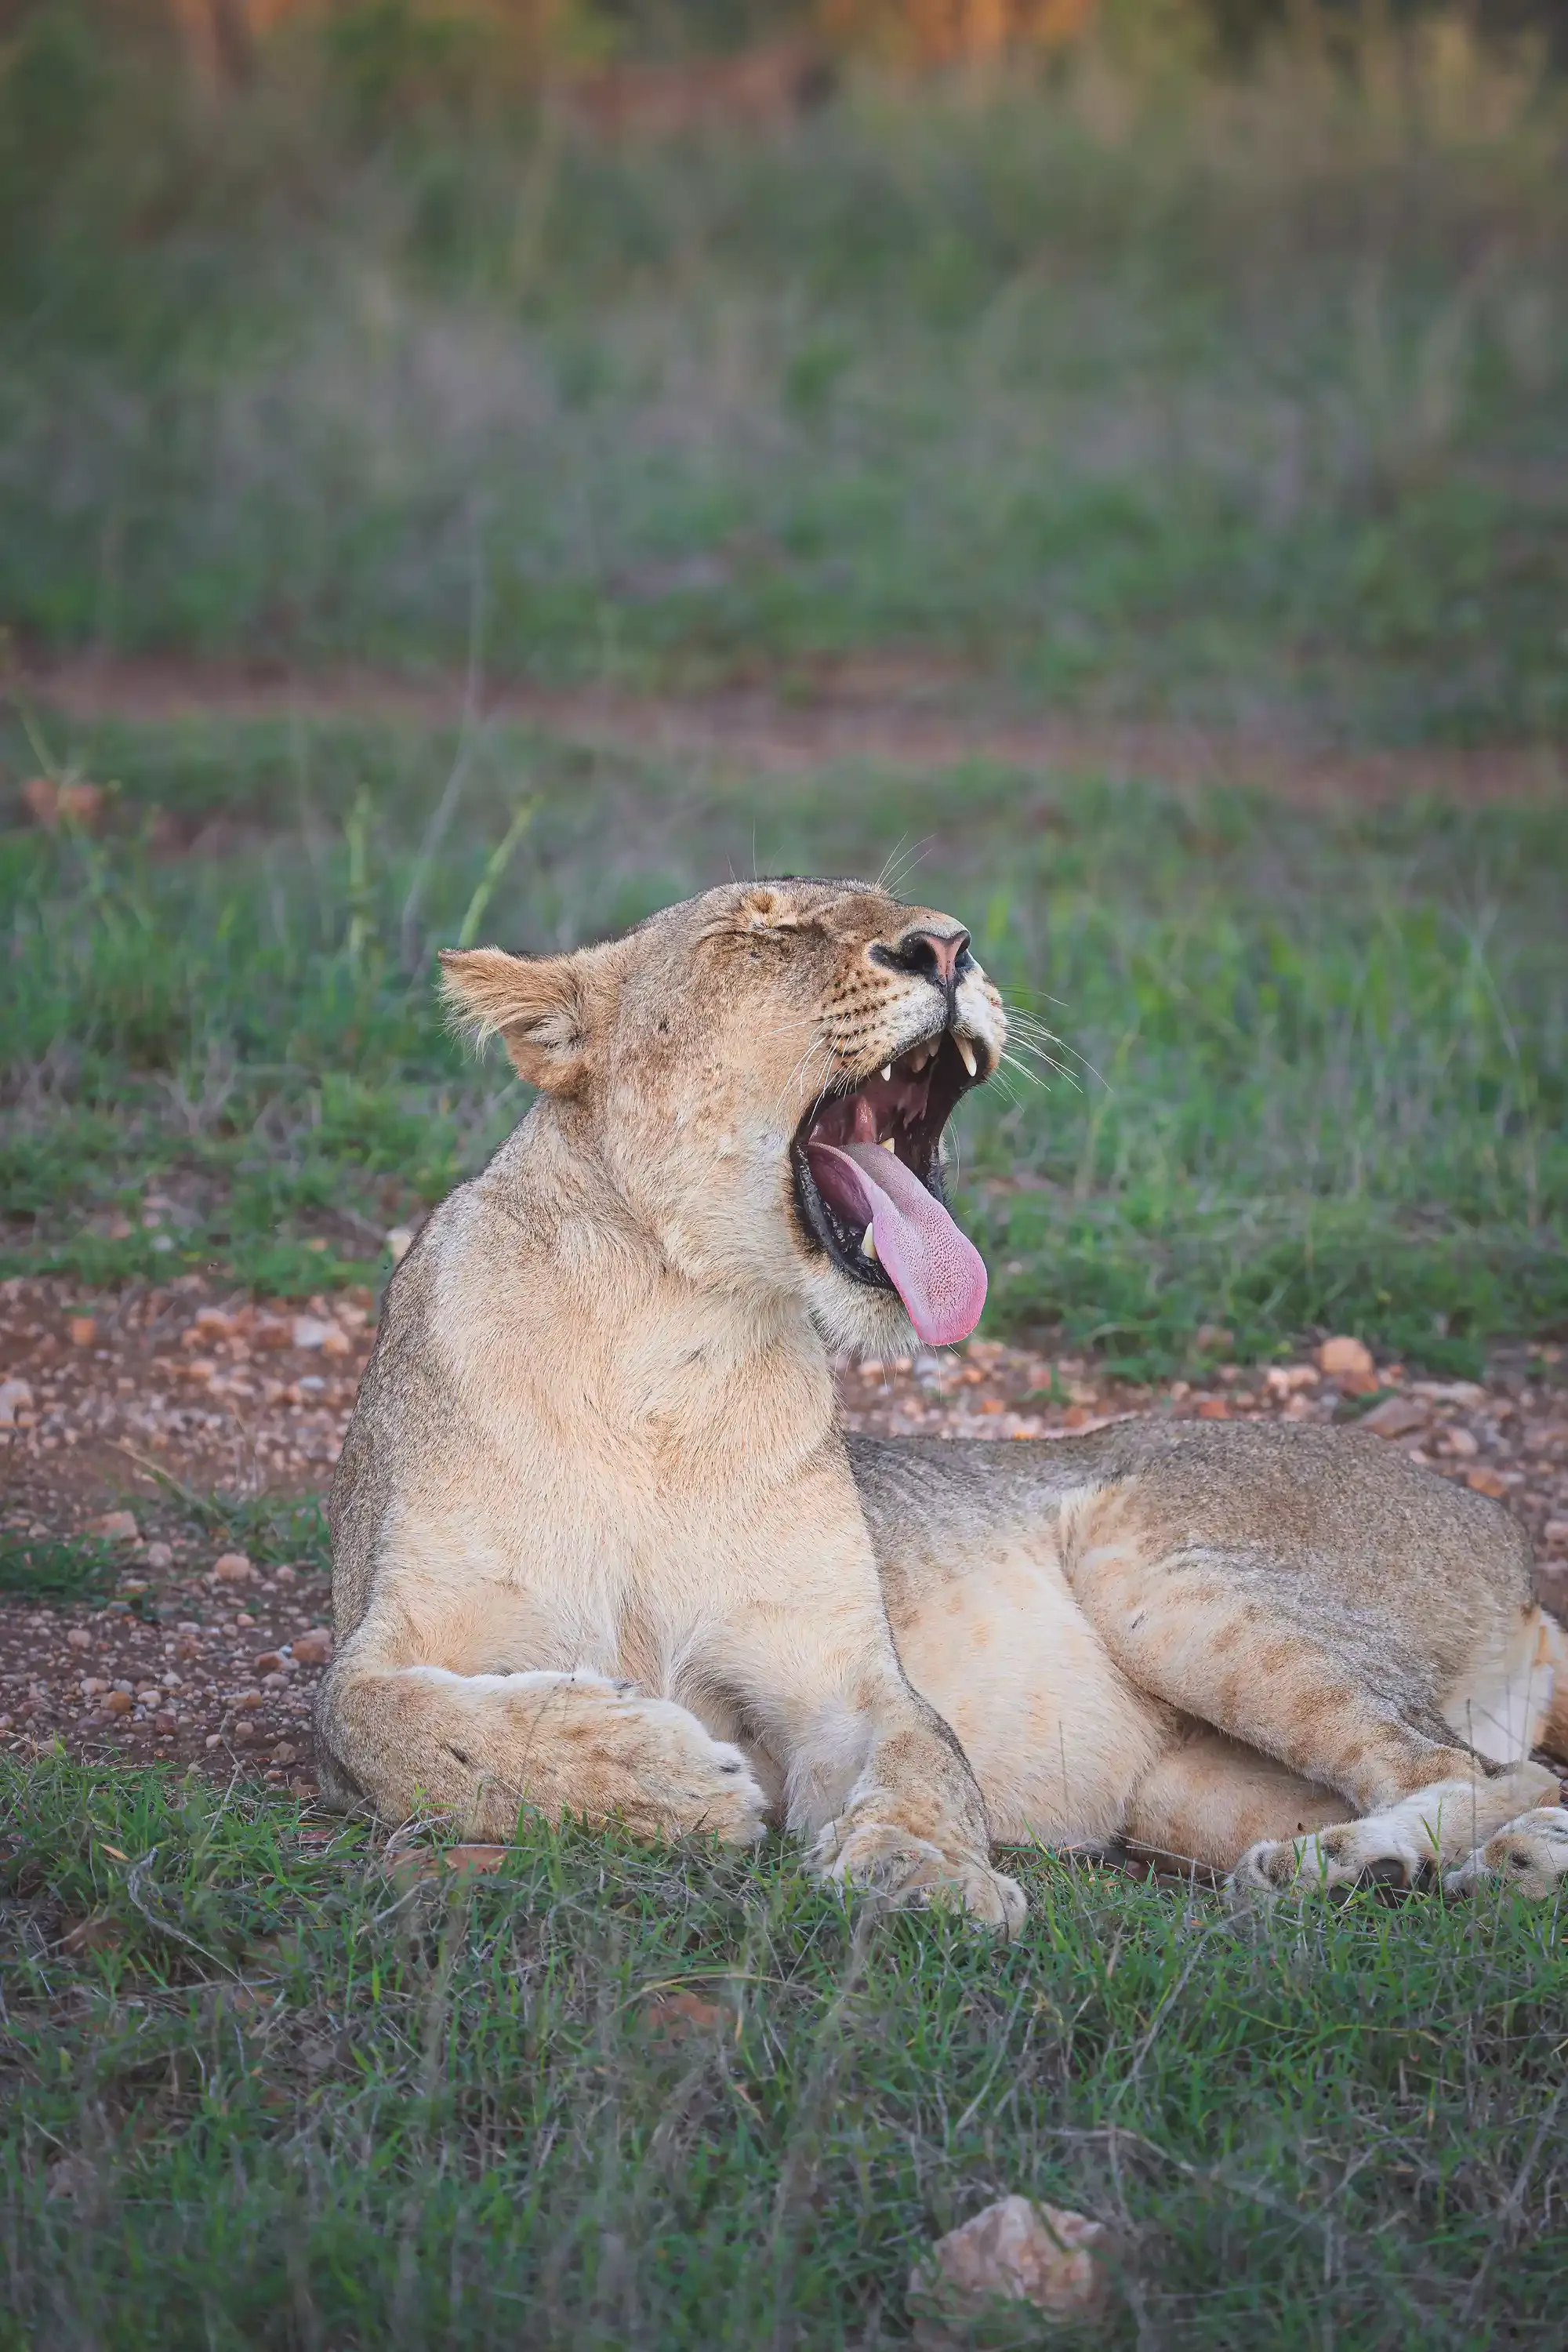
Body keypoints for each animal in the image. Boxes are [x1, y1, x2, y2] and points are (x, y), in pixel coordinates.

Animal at [318, 878, 1568, 1926]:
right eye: (756, 931)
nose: (950, 948)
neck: (667, 1344)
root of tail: (1507, 1538)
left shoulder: (836, 1671)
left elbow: (924, 1760)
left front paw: (921, 1878)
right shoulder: (389, 1634)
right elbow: (384, 1725)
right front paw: (665, 1778)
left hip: (1160, 1561)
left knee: (1479, 1770)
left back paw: (1426, 1859)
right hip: (1192, 1787)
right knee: (1485, 1778)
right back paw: (1394, 1865)